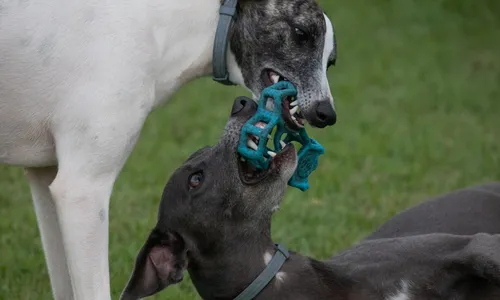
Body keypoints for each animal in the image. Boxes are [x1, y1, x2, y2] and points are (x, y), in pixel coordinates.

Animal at [0, 0, 336, 298]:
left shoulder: (47, 183)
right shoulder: (81, 191)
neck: (159, 29)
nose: (327, 114)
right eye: (301, 33)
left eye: (331, 61)